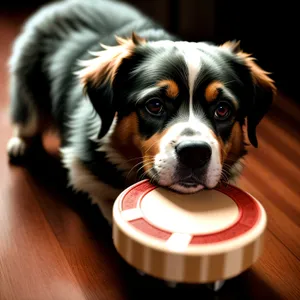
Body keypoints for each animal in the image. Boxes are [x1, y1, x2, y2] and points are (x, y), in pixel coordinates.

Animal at [5, 0, 276, 223]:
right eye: (154, 105)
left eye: (222, 109)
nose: (195, 153)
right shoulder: (84, 168)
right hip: (28, 81)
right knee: (28, 117)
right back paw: (20, 144)